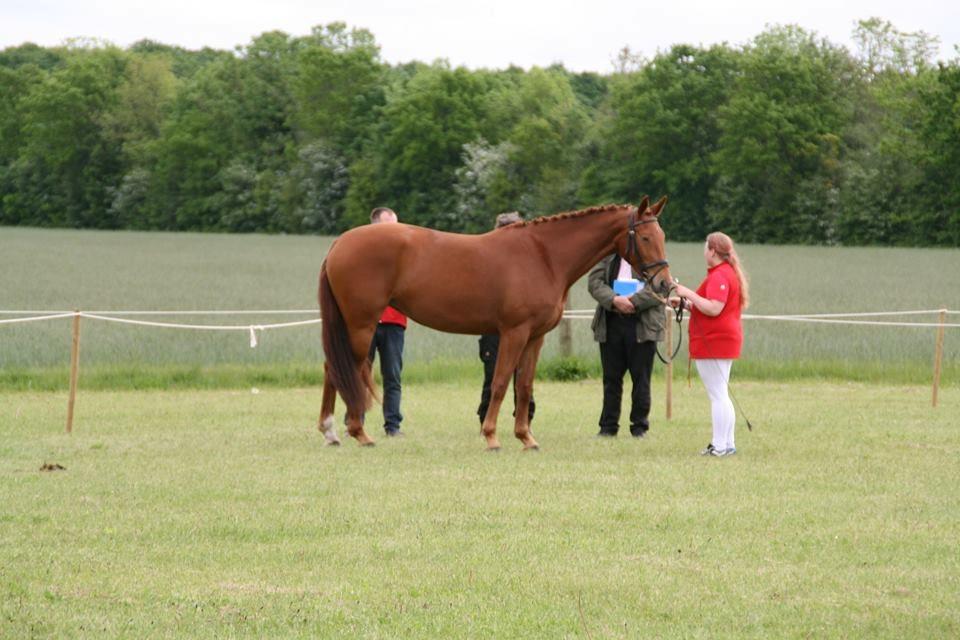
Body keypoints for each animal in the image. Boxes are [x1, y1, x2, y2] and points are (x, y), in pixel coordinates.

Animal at [318, 196, 672, 450]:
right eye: (644, 237)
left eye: (662, 235)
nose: (665, 284)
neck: (543, 256)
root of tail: (339, 243)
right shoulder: (514, 333)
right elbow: (501, 383)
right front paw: (491, 436)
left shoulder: (535, 338)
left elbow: (524, 386)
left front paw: (526, 438)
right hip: (361, 324)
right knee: (343, 368)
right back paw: (357, 433)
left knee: (333, 369)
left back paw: (332, 432)